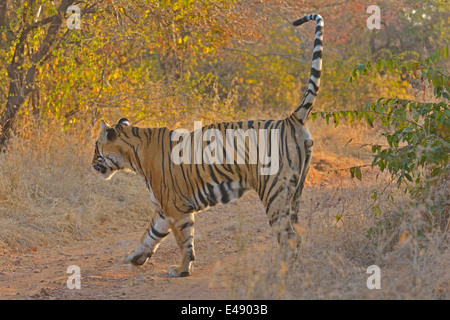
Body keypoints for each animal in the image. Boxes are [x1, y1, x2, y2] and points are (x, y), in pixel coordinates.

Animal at [92, 13, 324, 276]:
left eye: (96, 147)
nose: (91, 163)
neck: (134, 155)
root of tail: (291, 118)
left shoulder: (174, 207)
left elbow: (183, 240)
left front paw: (181, 269)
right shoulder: (164, 209)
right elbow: (150, 235)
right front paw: (134, 257)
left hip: (274, 191)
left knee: (290, 236)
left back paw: (283, 271)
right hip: (296, 192)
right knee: (297, 233)